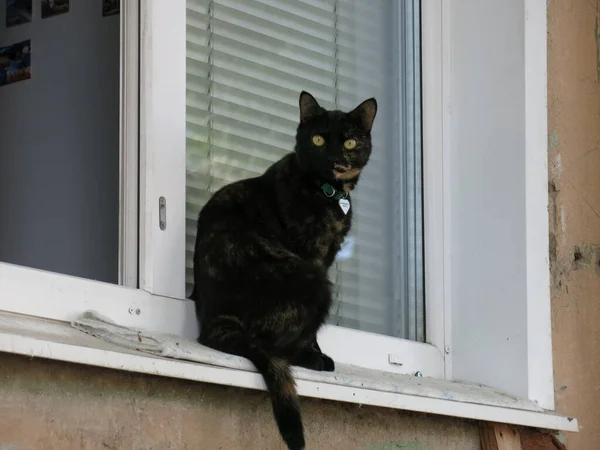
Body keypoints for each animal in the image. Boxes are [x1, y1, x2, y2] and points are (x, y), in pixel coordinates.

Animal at [192, 91, 378, 450]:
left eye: (349, 142)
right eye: (318, 139)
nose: (333, 158)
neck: (329, 194)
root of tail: (216, 321)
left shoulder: (327, 256)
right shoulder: (312, 256)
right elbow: (311, 335)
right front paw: (315, 354)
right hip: (313, 281)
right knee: (274, 344)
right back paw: (311, 360)